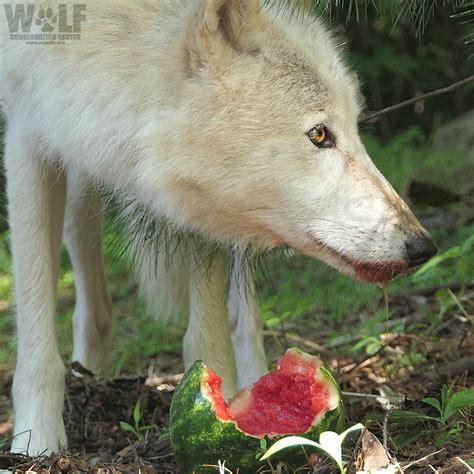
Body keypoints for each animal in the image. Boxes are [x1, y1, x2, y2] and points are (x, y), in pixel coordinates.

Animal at [0, 0, 436, 456]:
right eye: (319, 134)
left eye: (354, 127)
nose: (422, 247)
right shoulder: (28, 129)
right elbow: (35, 327)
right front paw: (36, 442)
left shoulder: (198, 202)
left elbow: (207, 334)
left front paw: (224, 406)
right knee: (85, 258)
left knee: (242, 313)